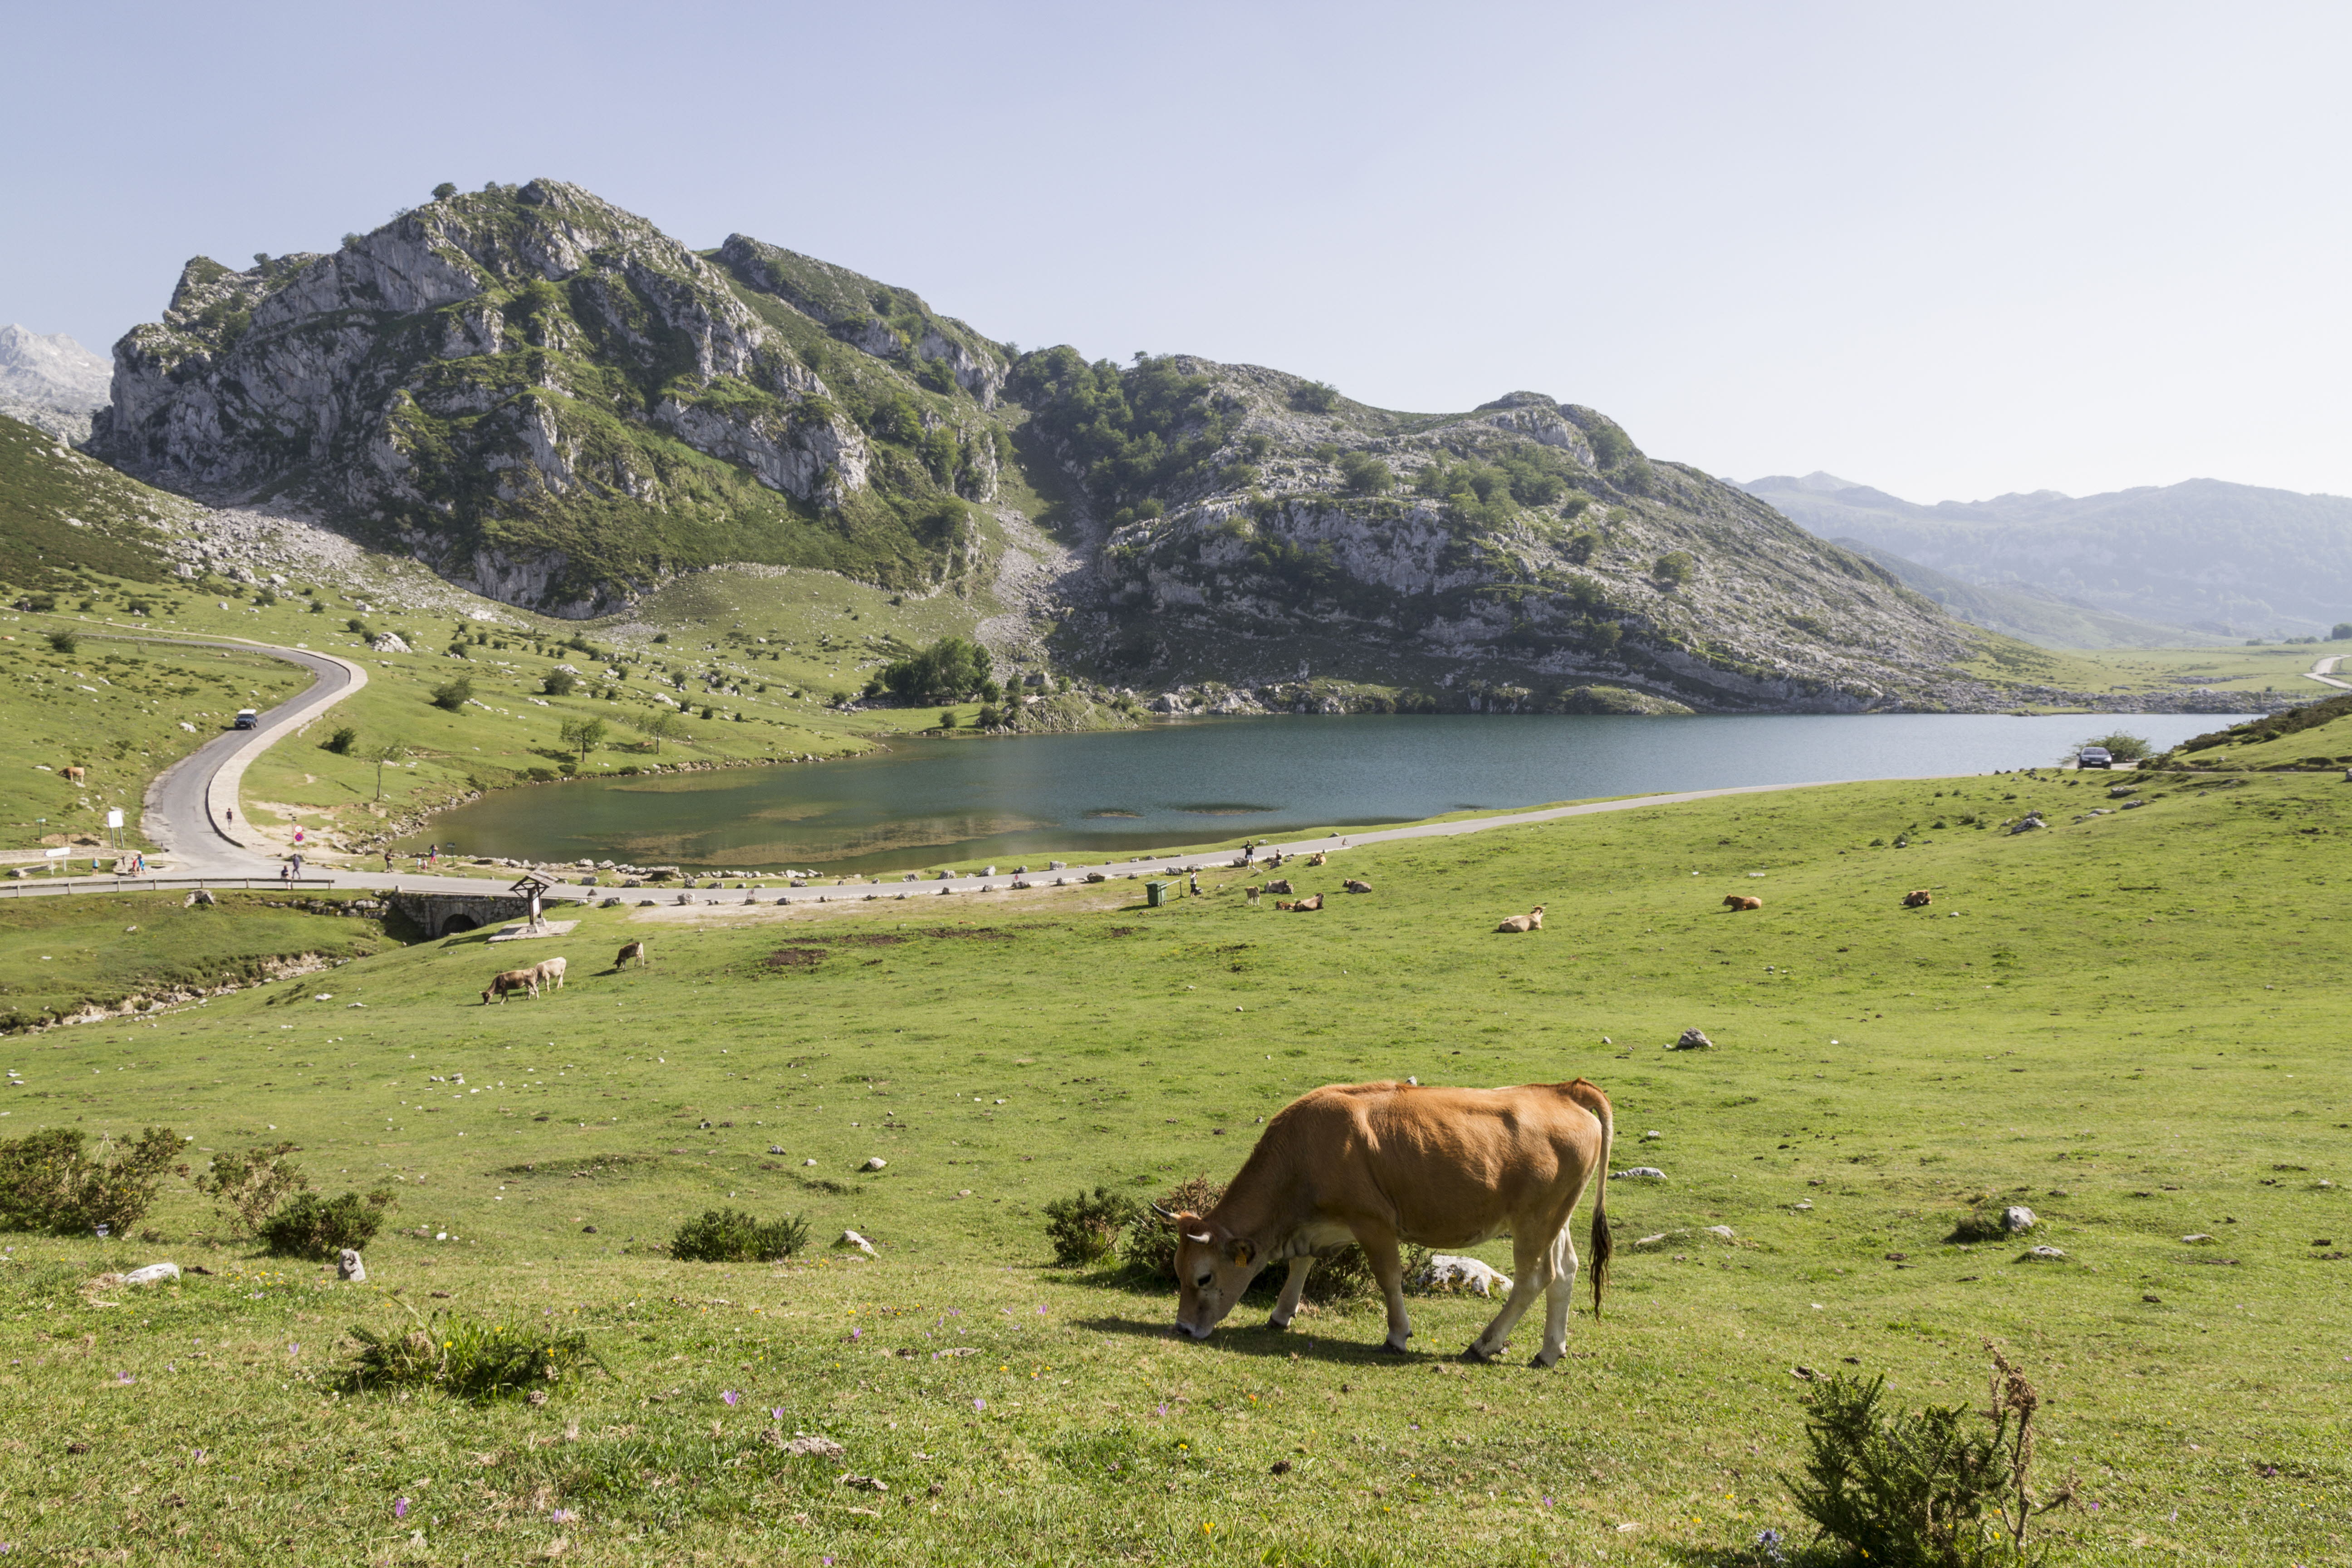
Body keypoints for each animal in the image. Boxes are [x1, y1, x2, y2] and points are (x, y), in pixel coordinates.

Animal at [1157, 1072, 1618, 1363]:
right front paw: (1281, 1314)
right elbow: (1300, 1265)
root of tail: (1563, 1091)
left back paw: (1484, 1345)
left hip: (1534, 1222)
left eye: (1204, 1278)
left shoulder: (1373, 1223)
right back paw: (1549, 1352)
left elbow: (1389, 1279)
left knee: (1534, 1279)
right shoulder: (1316, 1226)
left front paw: (1397, 1336)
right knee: (1565, 1272)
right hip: (1556, 1218)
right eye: (1177, 1271)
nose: (1183, 1328)